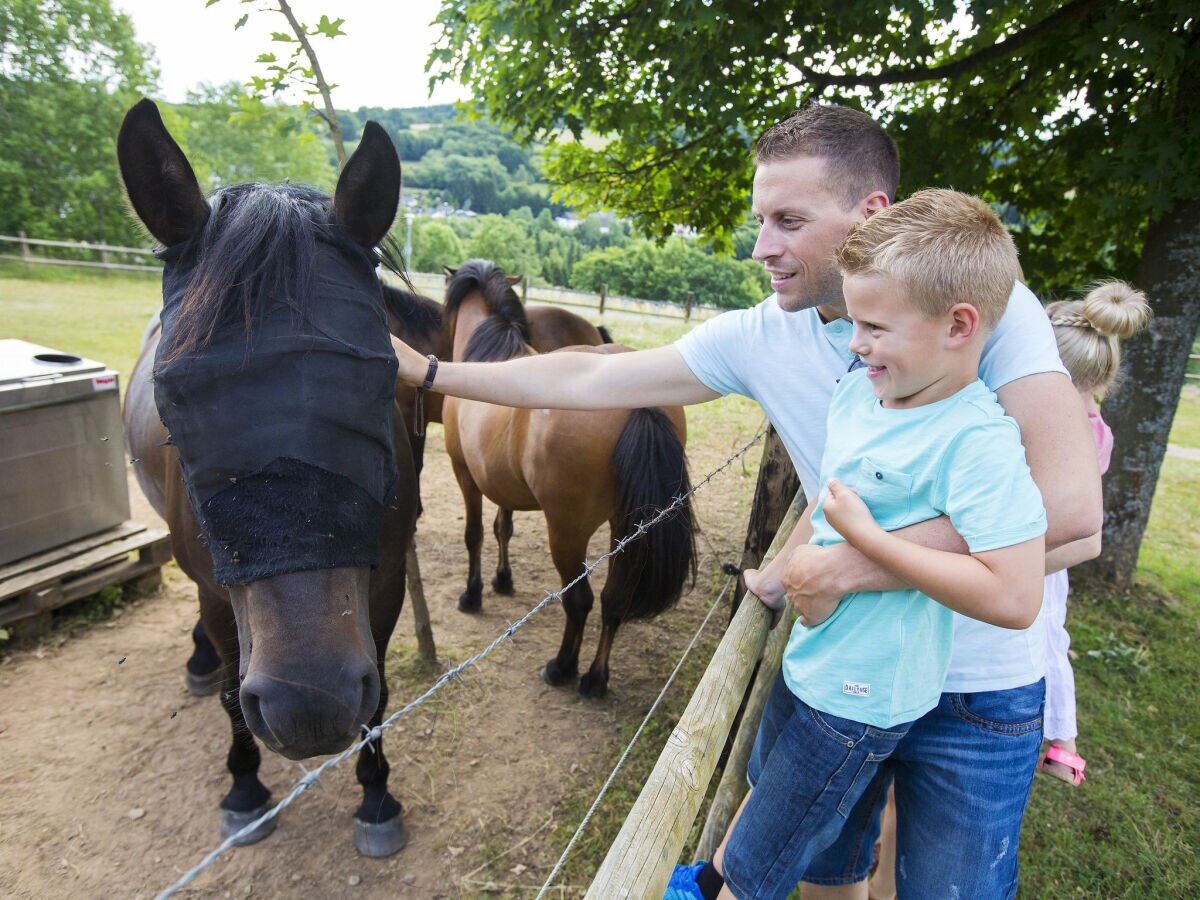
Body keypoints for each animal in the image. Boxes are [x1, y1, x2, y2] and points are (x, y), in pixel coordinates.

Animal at [119, 100, 415, 859]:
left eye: (382, 382)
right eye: (173, 397)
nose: (308, 704)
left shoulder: (388, 575)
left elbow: (379, 695)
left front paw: (377, 796)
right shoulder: (217, 589)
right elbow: (231, 692)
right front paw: (245, 791)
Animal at [439, 259, 696, 696]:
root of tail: (637, 401)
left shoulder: (466, 475)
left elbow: (475, 535)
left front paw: (472, 595)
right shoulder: (501, 485)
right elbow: (502, 528)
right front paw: (502, 580)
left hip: (567, 532)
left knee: (580, 601)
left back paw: (562, 668)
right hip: (627, 531)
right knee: (613, 600)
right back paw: (595, 678)